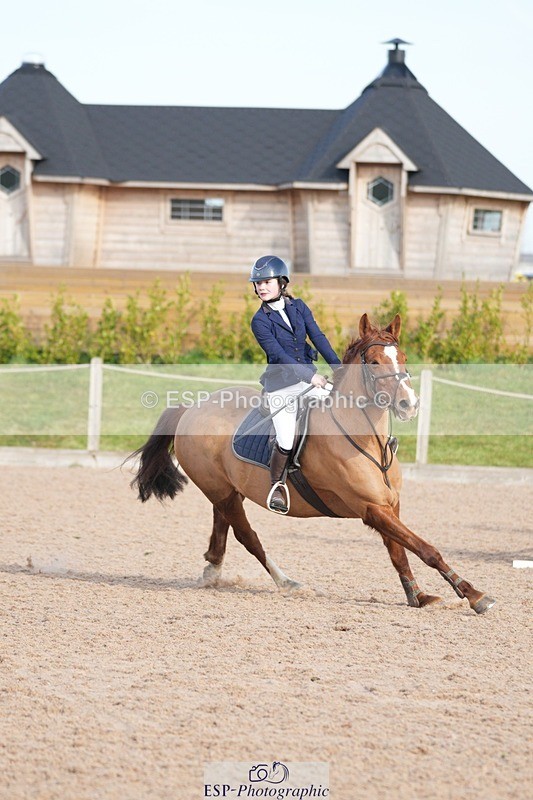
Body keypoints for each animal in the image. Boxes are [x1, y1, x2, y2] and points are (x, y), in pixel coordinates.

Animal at [130, 313, 496, 615]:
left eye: (402, 358)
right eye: (374, 362)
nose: (409, 404)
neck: (366, 440)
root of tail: (191, 409)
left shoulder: (389, 505)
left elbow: (399, 551)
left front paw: (417, 596)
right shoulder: (371, 509)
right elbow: (424, 548)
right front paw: (474, 595)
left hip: (226, 491)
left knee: (223, 527)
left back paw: (212, 571)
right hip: (220, 491)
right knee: (248, 536)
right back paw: (287, 582)